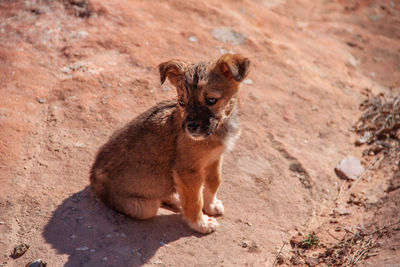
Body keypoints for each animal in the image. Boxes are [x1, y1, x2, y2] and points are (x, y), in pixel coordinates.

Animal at [90, 53, 250, 233]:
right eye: (182, 102)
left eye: (211, 100)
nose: (190, 128)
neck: (220, 127)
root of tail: (93, 180)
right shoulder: (188, 170)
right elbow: (195, 200)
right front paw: (200, 223)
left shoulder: (214, 158)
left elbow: (214, 181)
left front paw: (211, 205)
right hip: (145, 207)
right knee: (157, 201)